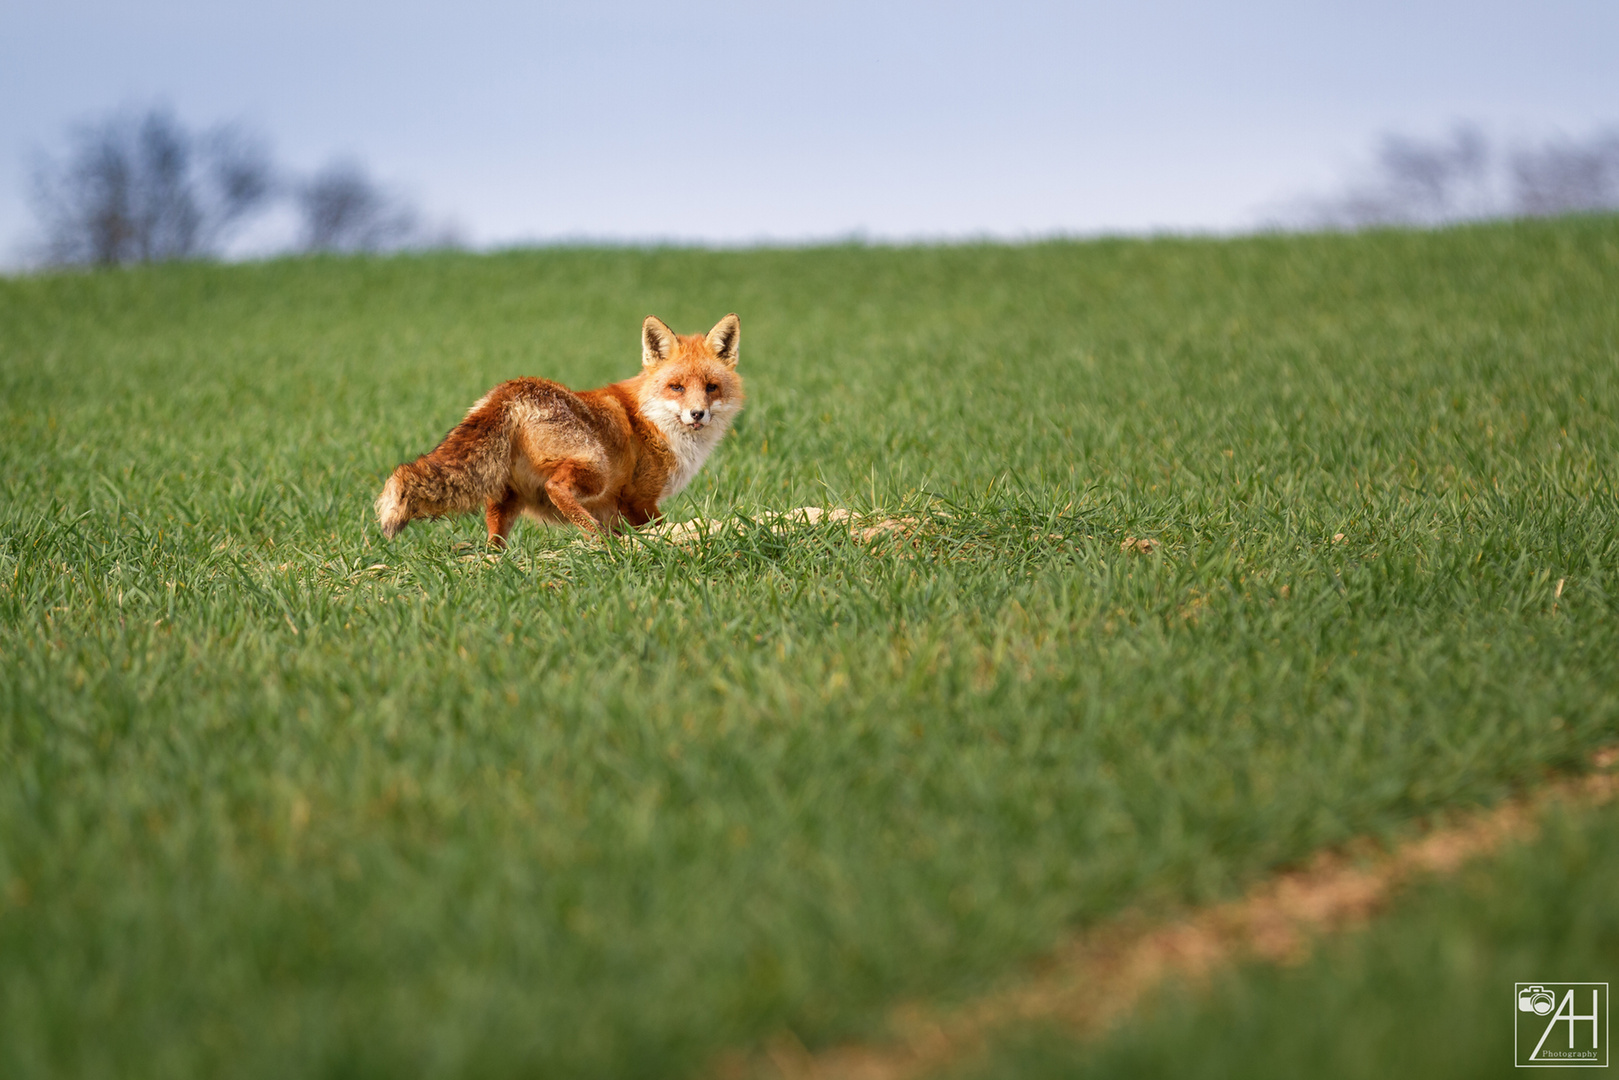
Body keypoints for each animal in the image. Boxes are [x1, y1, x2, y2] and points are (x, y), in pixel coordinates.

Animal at [375, 317, 741, 544]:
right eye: (677, 387)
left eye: (711, 387)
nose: (697, 414)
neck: (652, 421)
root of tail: (512, 390)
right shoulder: (639, 498)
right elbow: (658, 527)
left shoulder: (621, 508)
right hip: (595, 467)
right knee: (557, 488)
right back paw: (597, 537)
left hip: (505, 495)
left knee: (495, 535)